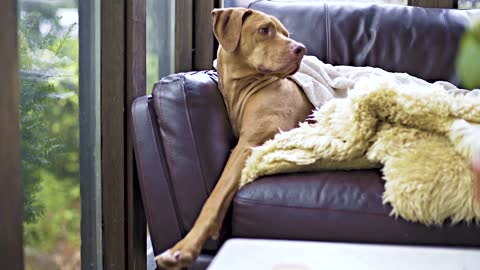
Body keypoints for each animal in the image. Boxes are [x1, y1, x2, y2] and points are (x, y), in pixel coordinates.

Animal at [156, 7, 314, 268]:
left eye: (285, 33)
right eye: (264, 30)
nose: (301, 48)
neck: (243, 88)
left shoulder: (248, 146)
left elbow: (215, 197)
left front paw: (184, 248)